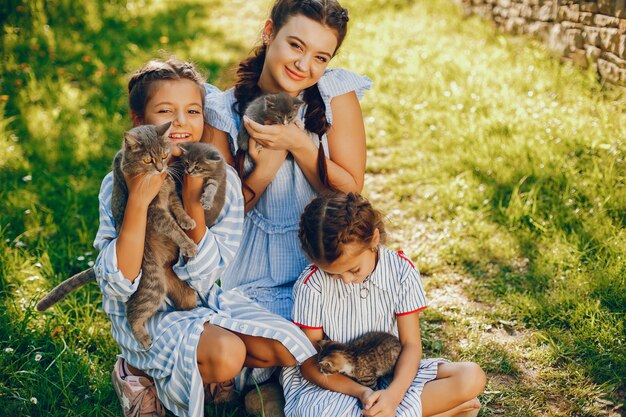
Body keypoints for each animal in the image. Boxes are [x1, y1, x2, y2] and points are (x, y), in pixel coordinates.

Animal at [37, 122, 197, 348]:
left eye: (165, 155)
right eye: (148, 160)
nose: (161, 169)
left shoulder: (172, 193)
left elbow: (179, 209)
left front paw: (187, 221)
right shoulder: (153, 211)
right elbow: (172, 227)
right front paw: (188, 244)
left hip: (185, 293)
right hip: (152, 283)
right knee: (133, 312)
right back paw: (143, 338)